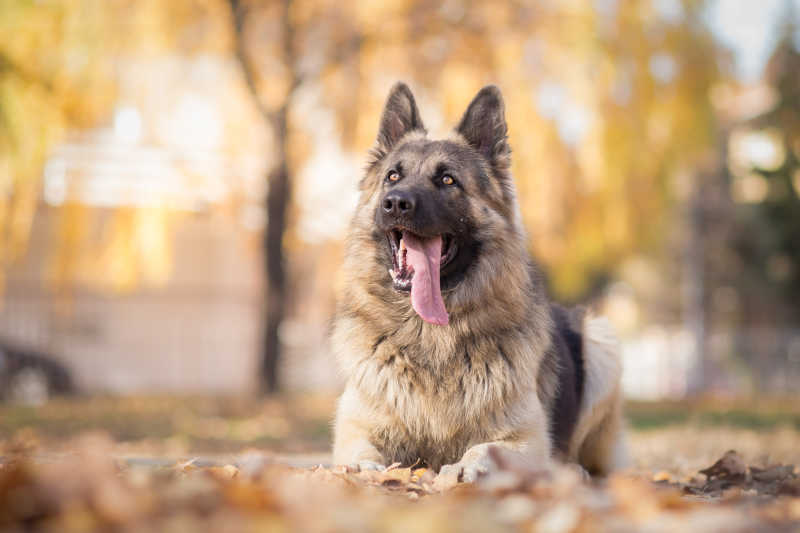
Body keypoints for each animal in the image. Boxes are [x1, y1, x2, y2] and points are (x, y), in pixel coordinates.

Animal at [330, 82, 624, 478]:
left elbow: (486, 449)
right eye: (392, 176)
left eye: (447, 180)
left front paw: (465, 468)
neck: (429, 334)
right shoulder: (356, 429)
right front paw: (366, 468)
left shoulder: (526, 441)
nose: (395, 203)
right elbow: (359, 451)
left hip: (602, 342)